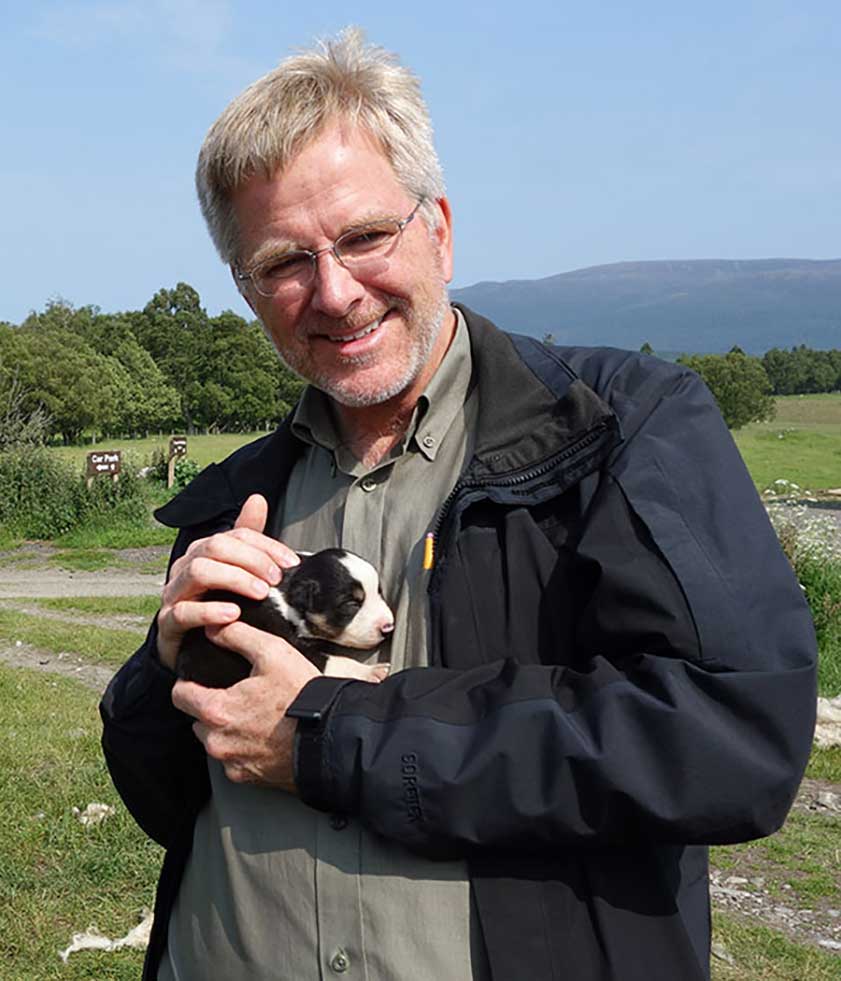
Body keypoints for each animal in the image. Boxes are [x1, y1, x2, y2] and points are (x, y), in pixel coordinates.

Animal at [177, 544, 394, 688]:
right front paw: (372, 671)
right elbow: (332, 662)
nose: (389, 627)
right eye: (352, 604)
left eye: (379, 591)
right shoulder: (287, 640)